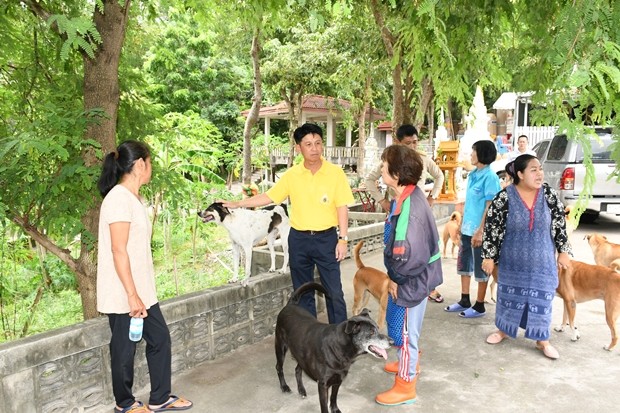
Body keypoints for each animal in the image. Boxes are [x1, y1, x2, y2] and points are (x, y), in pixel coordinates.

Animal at [274, 282, 390, 412]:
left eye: (377, 328)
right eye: (371, 332)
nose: (392, 341)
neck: (338, 347)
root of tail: (290, 304)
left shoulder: (338, 380)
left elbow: (334, 397)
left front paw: (335, 409)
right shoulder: (323, 385)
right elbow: (324, 405)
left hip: (301, 355)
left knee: (298, 369)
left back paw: (301, 390)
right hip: (281, 347)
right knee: (279, 367)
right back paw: (284, 386)